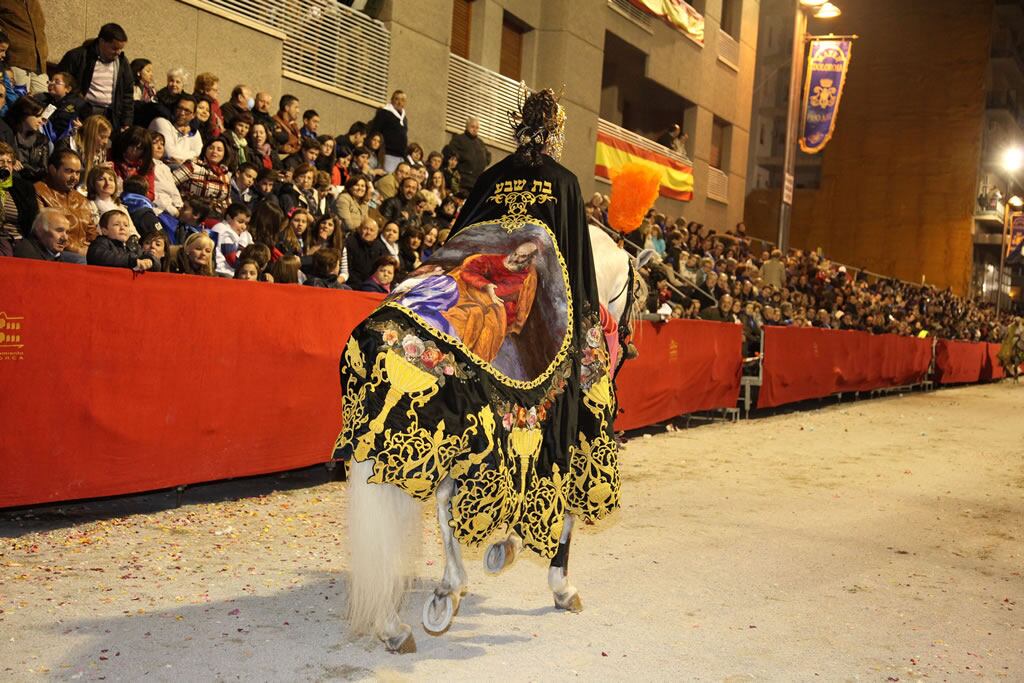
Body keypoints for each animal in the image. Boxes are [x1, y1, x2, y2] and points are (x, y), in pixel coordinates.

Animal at [344, 223, 647, 651]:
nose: (628, 347)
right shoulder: (566, 441)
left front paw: (502, 551)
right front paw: (555, 582)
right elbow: (560, 511)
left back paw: (409, 614)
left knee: (433, 509)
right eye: (637, 297)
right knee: (447, 504)